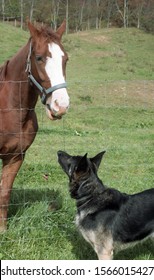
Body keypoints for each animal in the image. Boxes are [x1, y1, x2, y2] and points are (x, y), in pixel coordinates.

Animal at [0, 20, 69, 232]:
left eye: (65, 59)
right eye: (39, 58)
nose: (61, 105)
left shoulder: (15, 157)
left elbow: (4, 194)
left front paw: (2, 230)